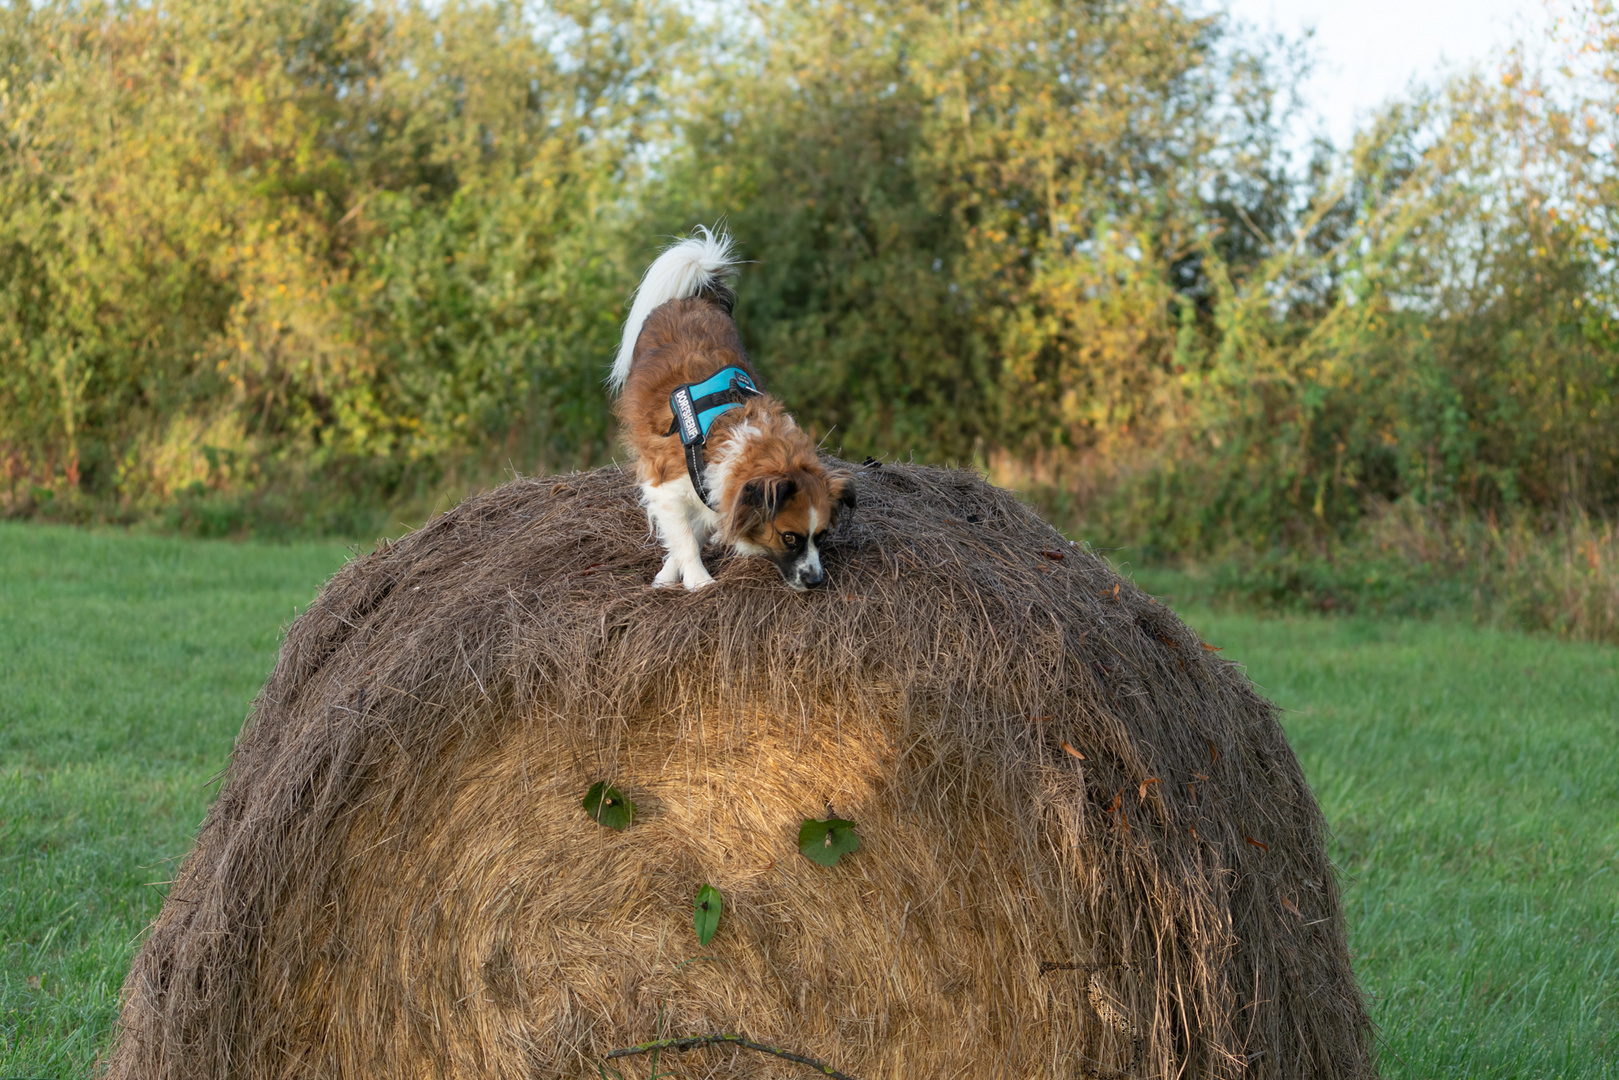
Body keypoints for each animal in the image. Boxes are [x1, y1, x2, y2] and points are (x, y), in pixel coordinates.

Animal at [608, 226, 861, 592]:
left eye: (822, 536)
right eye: (789, 537)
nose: (815, 581)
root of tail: (696, 298)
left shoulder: (712, 493)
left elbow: (695, 531)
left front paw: (671, 571)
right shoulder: (665, 484)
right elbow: (684, 538)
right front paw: (697, 580)